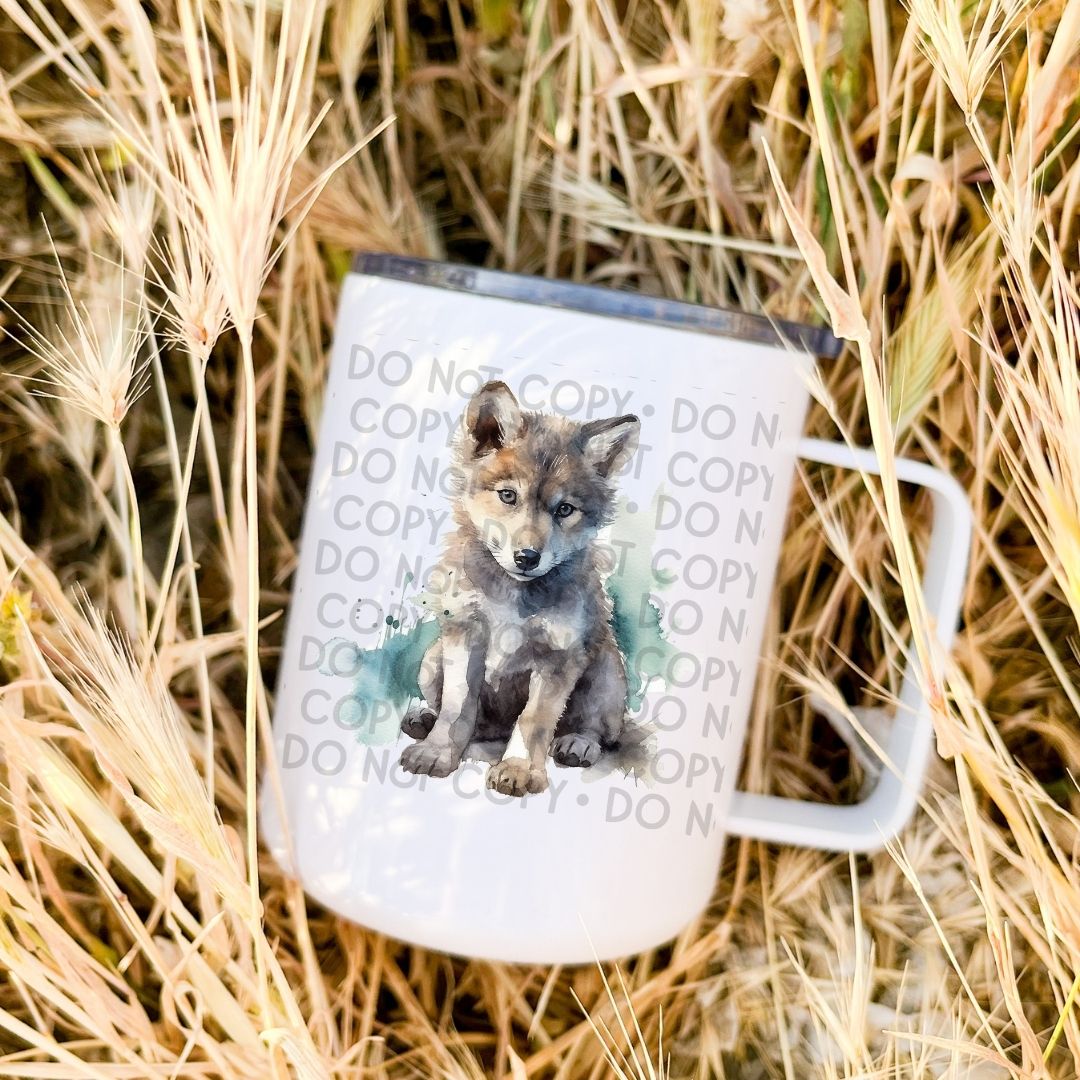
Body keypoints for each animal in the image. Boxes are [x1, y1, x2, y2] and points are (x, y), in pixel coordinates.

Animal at [398, 380, 640, 797]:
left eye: (564, 509)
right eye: (508, 496)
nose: (527, 557)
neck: (512, 596)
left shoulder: (559, 656)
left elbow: (534, 721)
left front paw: (518, 769)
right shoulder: (465, 634)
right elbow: (457, 709)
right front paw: (438, 752)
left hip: (607, 670)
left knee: (597, 727)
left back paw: (578, 743)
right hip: (431, 661)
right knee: (463, 714)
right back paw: (425, 720)